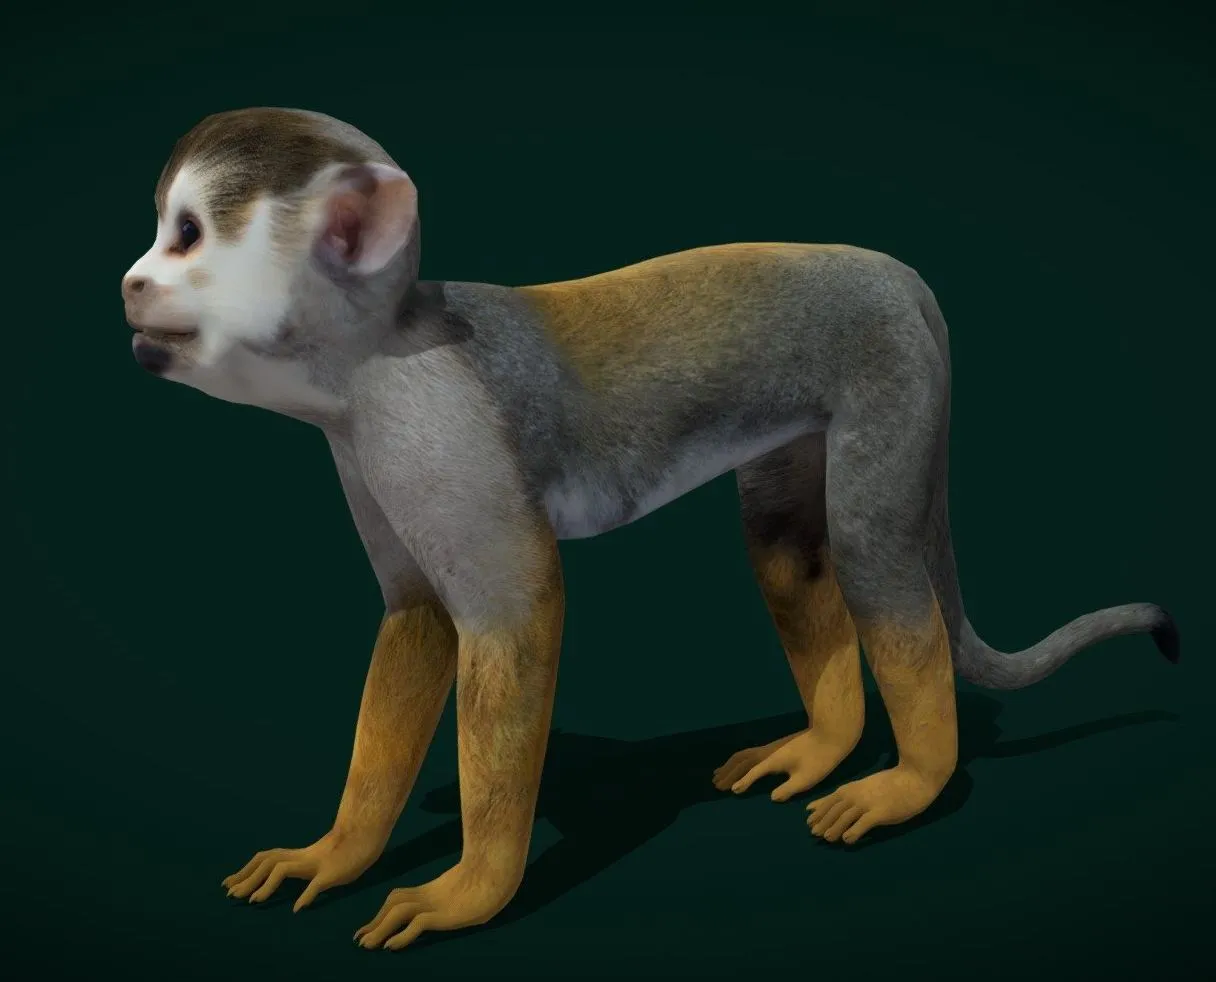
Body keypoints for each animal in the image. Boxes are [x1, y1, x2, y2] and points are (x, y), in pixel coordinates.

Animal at [121, 107, 1179, 951]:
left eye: (187, 236)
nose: (131, 282)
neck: (369, 361)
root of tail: (892, 270)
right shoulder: (361, 446)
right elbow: (418, 619)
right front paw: (340, 852)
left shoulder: (434, 423)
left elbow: (516, 616)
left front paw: (471, 891)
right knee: (788, 551)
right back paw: (827, 742)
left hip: (891, 370)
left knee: (872, 546)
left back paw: (914, 776)